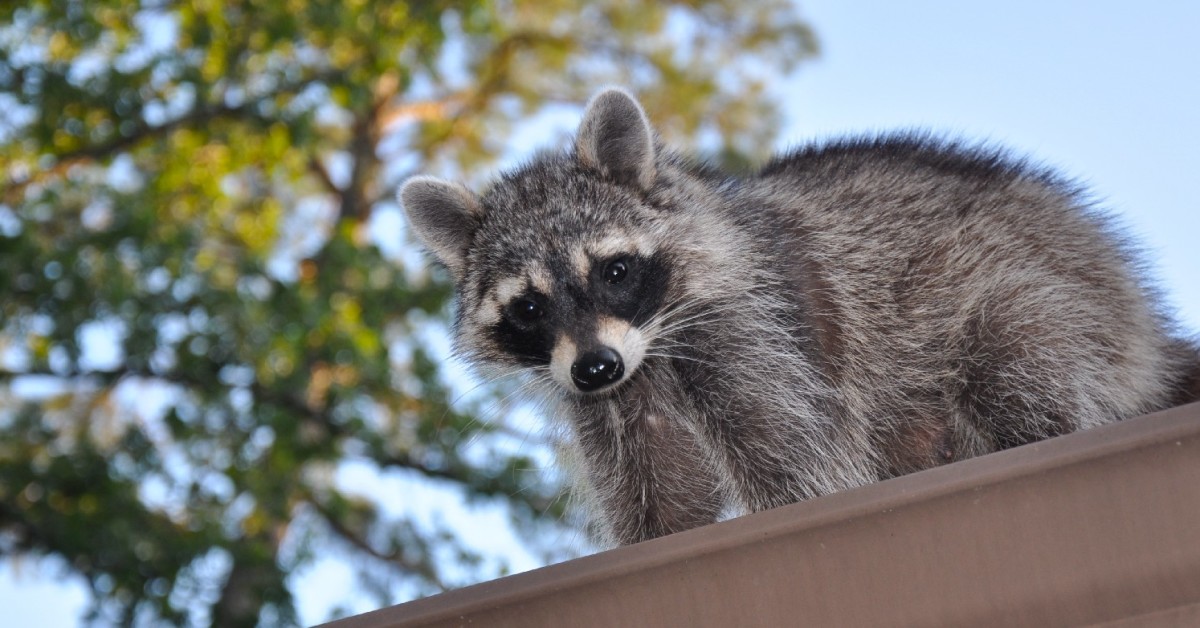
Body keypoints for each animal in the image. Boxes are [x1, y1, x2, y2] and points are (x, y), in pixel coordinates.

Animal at [403, 87, 1200, 545]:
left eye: (614, 271)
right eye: (528, 307)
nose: (596, 366)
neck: (651, 344)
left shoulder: (759, 330)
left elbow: (801, 465)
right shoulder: (616, 400)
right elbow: (662, 502)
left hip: (1057, 299)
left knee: (1015, 355)